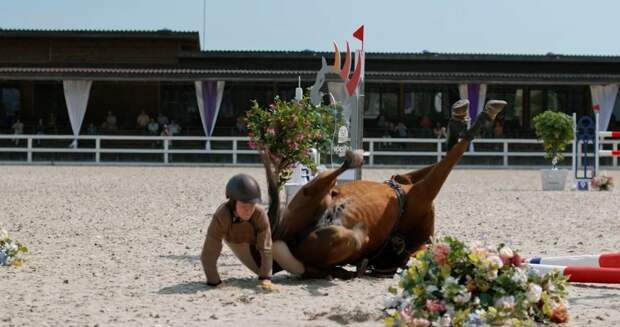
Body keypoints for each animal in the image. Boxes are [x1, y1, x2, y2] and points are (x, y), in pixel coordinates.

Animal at [264, 98, 506, 278]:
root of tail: (284, 242)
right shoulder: (419, 190)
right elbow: (449, 156)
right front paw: (468, 120)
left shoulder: (419, 193)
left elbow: (448, 157)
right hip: (311, 196)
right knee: (329, 179)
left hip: (342, 236)